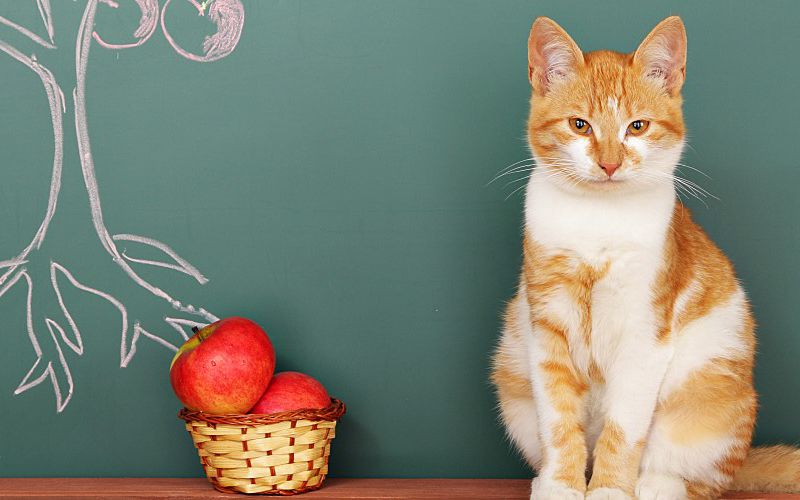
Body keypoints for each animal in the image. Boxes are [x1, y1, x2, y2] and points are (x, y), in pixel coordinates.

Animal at [490, 16, 800, 500]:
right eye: (580, 125)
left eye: (637, 126)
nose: (610, 164)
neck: (598, 220)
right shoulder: (547, 327)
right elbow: (558, 421)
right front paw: (561, 485)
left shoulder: (644, 333)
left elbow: (623, 428)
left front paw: (610, 490)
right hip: (513, 379)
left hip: (706, 399)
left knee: (700, 479)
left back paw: (654, 484)